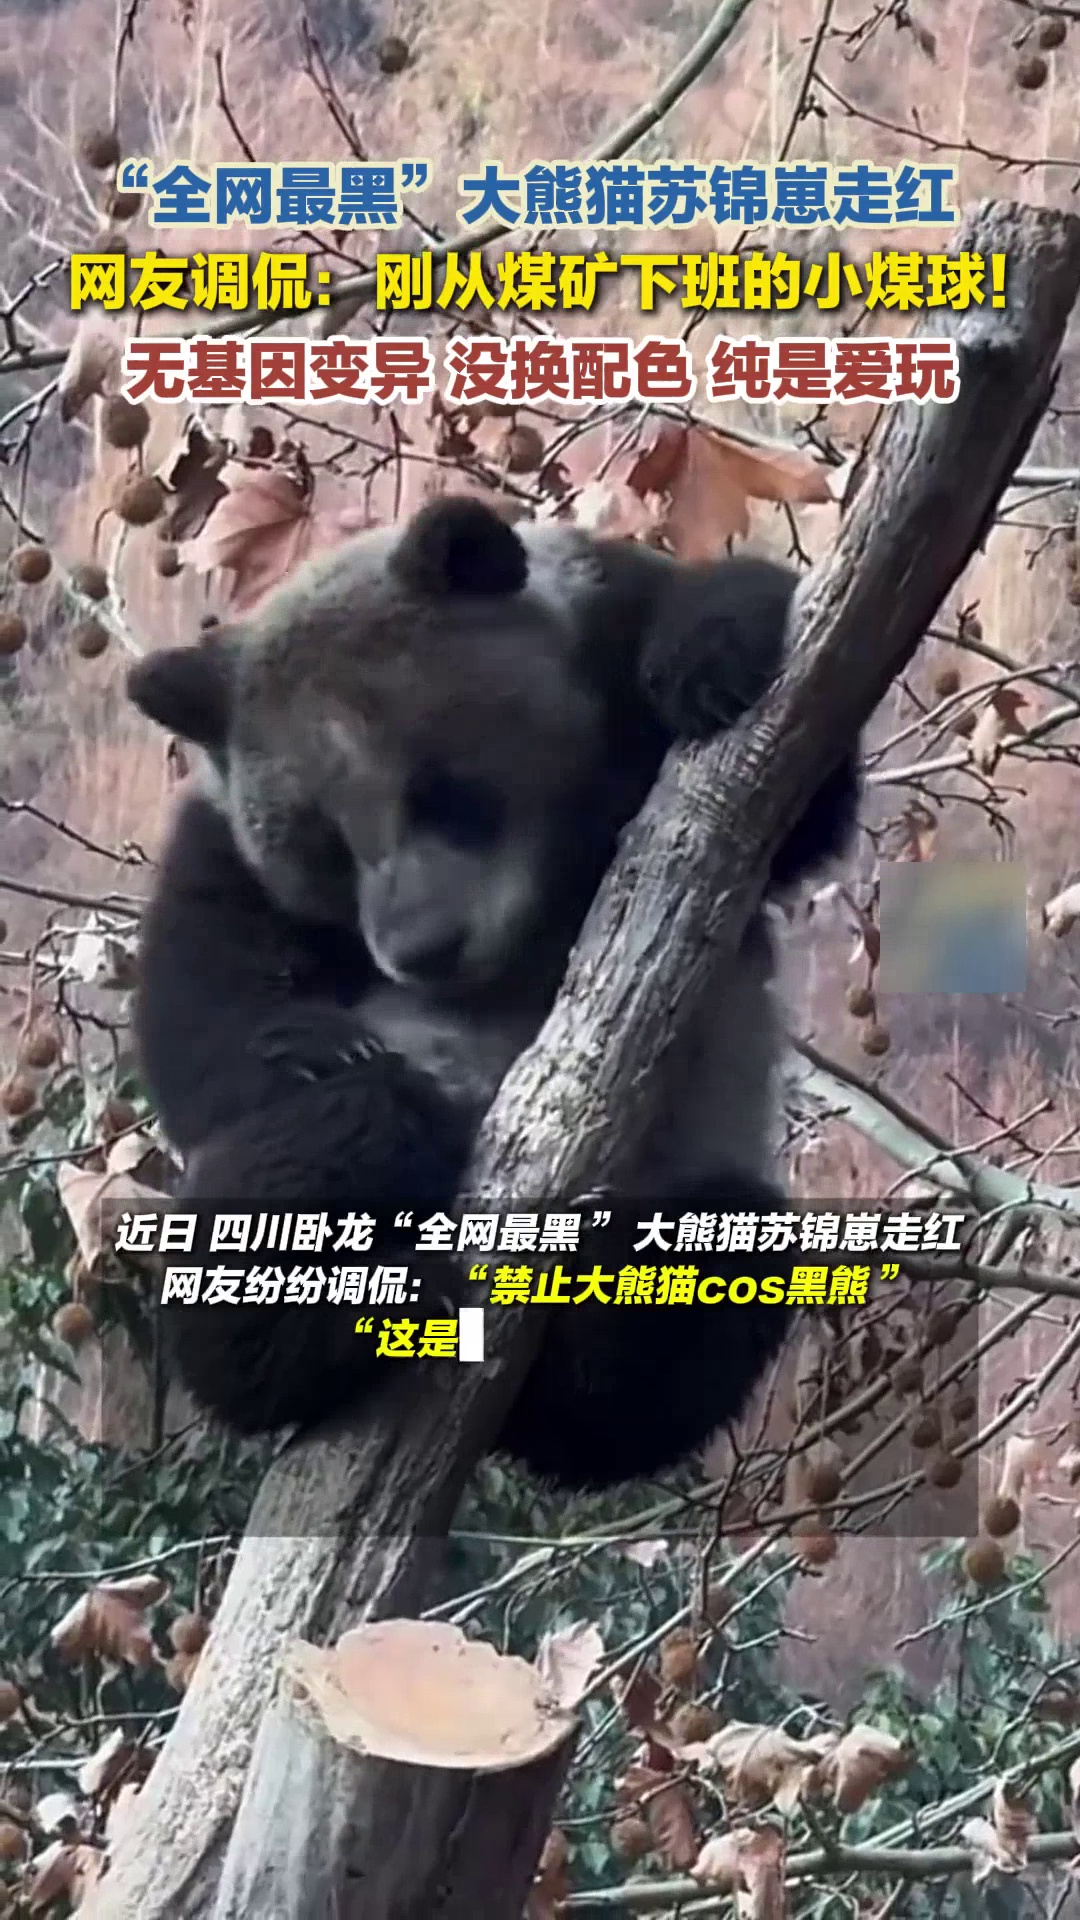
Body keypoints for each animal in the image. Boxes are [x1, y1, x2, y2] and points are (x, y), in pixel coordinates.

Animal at [125, 493, 860, 1489]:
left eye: (448, 794)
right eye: (324, 846)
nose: (423, 950)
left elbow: (805, 799)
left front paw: (709, 655)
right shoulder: (220, 838)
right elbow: (200, 1001)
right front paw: (314, 1045)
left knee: (699, 1290)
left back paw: (596, 1311)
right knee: (278, 1210)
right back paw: (339, 1306)